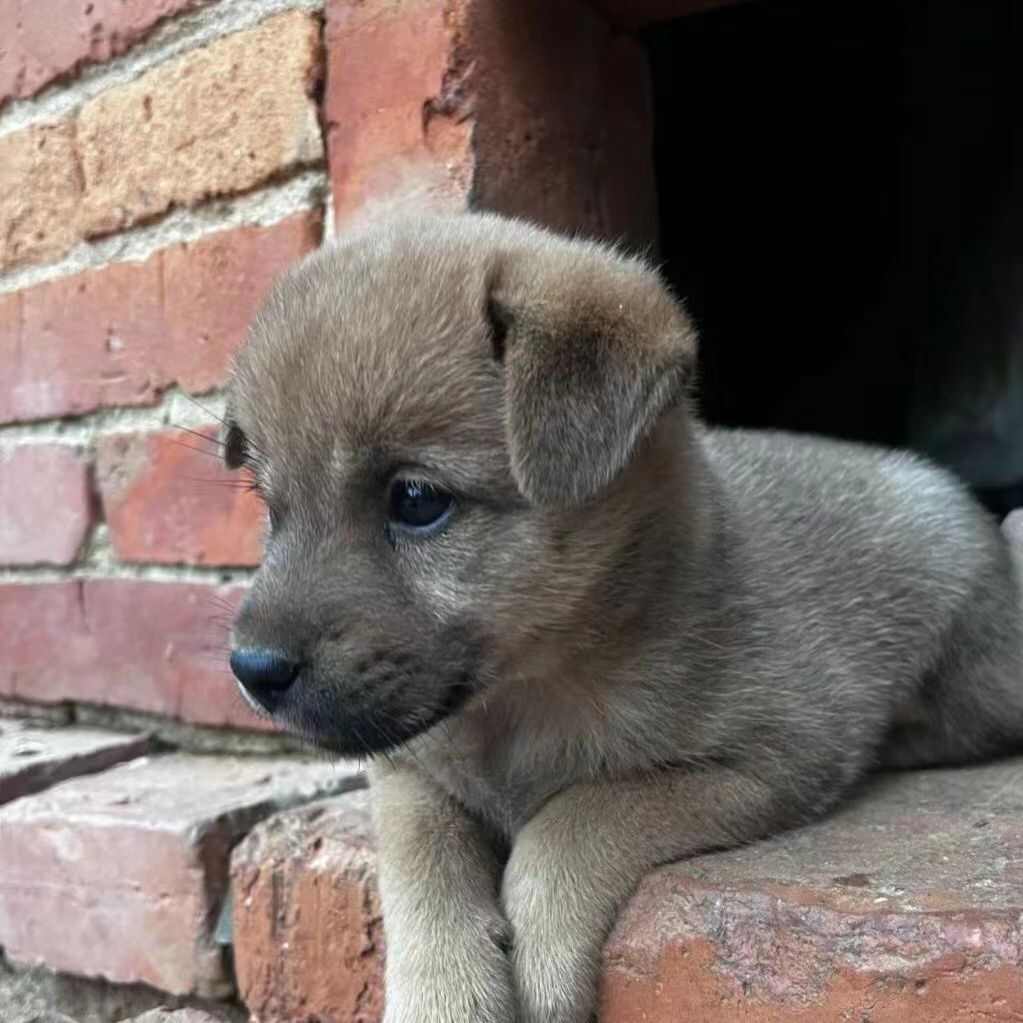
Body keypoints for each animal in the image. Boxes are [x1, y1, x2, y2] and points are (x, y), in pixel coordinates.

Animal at [224, 211, 1023, 1018]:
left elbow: (579, 813)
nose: (251, 670)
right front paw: (443, 990)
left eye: (416, 500)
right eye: (269, 507)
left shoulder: (765, 760)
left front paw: (542, 946)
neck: (521, 705)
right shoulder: (408, 770)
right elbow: (422, 863)